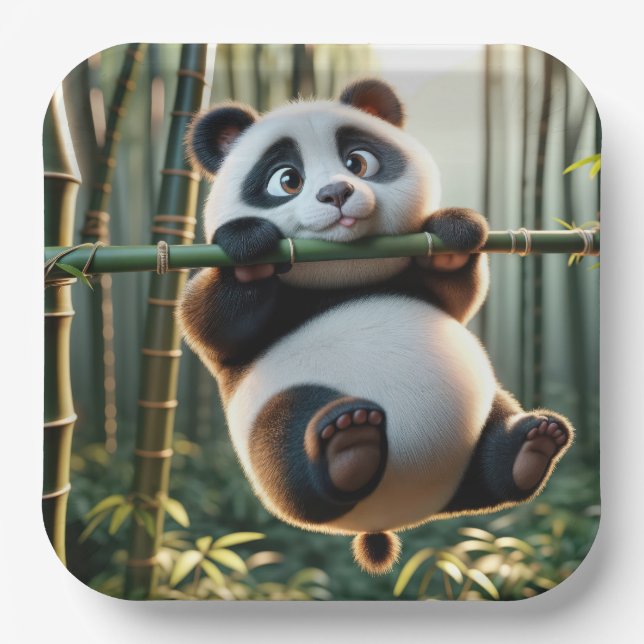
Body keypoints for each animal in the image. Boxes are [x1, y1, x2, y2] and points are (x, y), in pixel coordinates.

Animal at [177, 79, 573, 575]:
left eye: (358, 162)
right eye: (287, 179)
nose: (336, 192)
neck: (346, 271)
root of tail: (386, 519)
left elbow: (459, 295)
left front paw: (454, 235)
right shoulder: (232, 330)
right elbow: (207, 323)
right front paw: (251, 251)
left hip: (483, 411)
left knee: (492, 465)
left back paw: (530, 448)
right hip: (275, 416)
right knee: (287, 447)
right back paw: (348, 446)